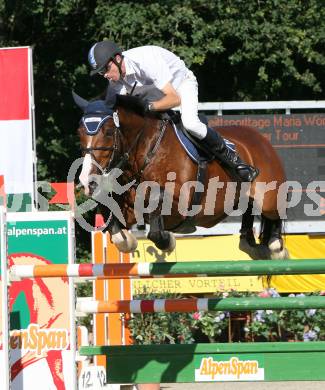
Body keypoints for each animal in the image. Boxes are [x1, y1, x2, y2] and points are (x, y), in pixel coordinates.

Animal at [73, 88, 288, 258]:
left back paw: (276, 248)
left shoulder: (182, 205)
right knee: (249, 213)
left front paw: (168, 241)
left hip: (268, 197)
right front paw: (129, 240)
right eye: (79, 132)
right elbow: (114, 225)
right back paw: (252, 245)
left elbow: (157, 208)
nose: (87, 181)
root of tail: (262, 139)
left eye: (109, 132)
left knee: (275, 213)